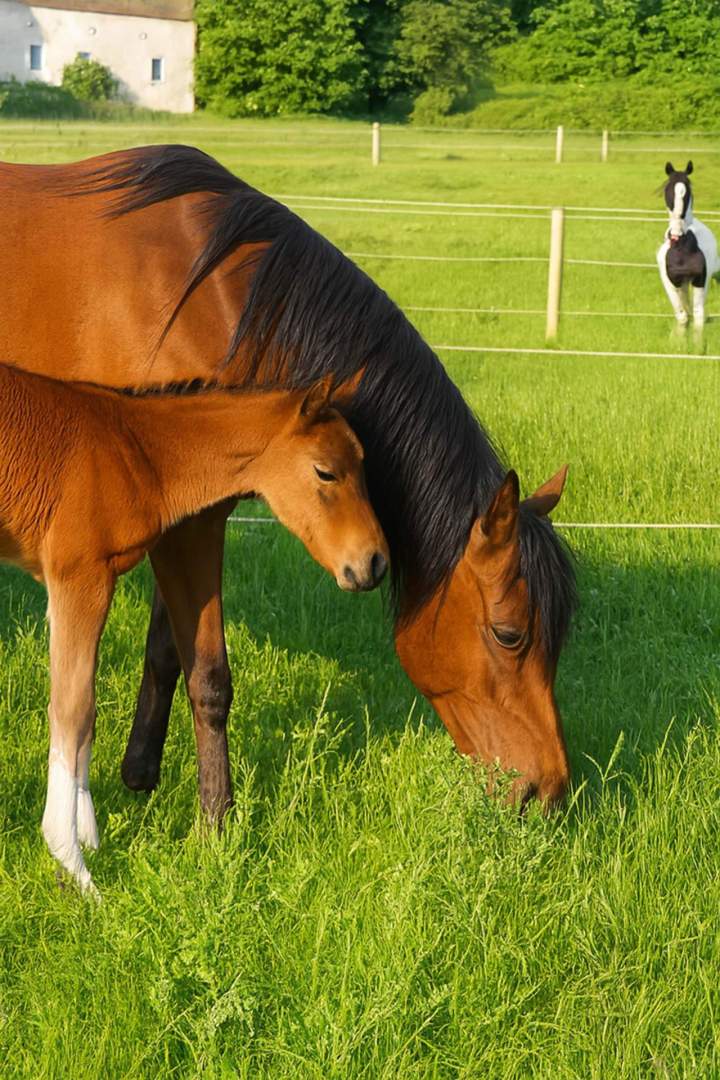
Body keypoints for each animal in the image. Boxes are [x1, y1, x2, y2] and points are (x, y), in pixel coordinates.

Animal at [0, 144, 577, 815]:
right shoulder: (188, 526)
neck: (210, 299)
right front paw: (216, 818)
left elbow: (168, 650)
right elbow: (209, 674)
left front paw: (141, 772)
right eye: (510, 635)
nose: (549, 788)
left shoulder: (184, 519)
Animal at [0, 365, 387, 894]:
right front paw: (73, 864)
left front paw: (89, 838)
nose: (375, 562)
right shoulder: (78, 577)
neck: (133, 448)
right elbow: (74, 710)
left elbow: (84, 710)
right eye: (325, 471)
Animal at [657, 161, 720, 332]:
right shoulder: (673, 283)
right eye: (668, 189)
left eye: (687, 191)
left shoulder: (700, 280)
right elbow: (683, 316)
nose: (676, 230)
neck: (682, 248)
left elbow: (698, 315)